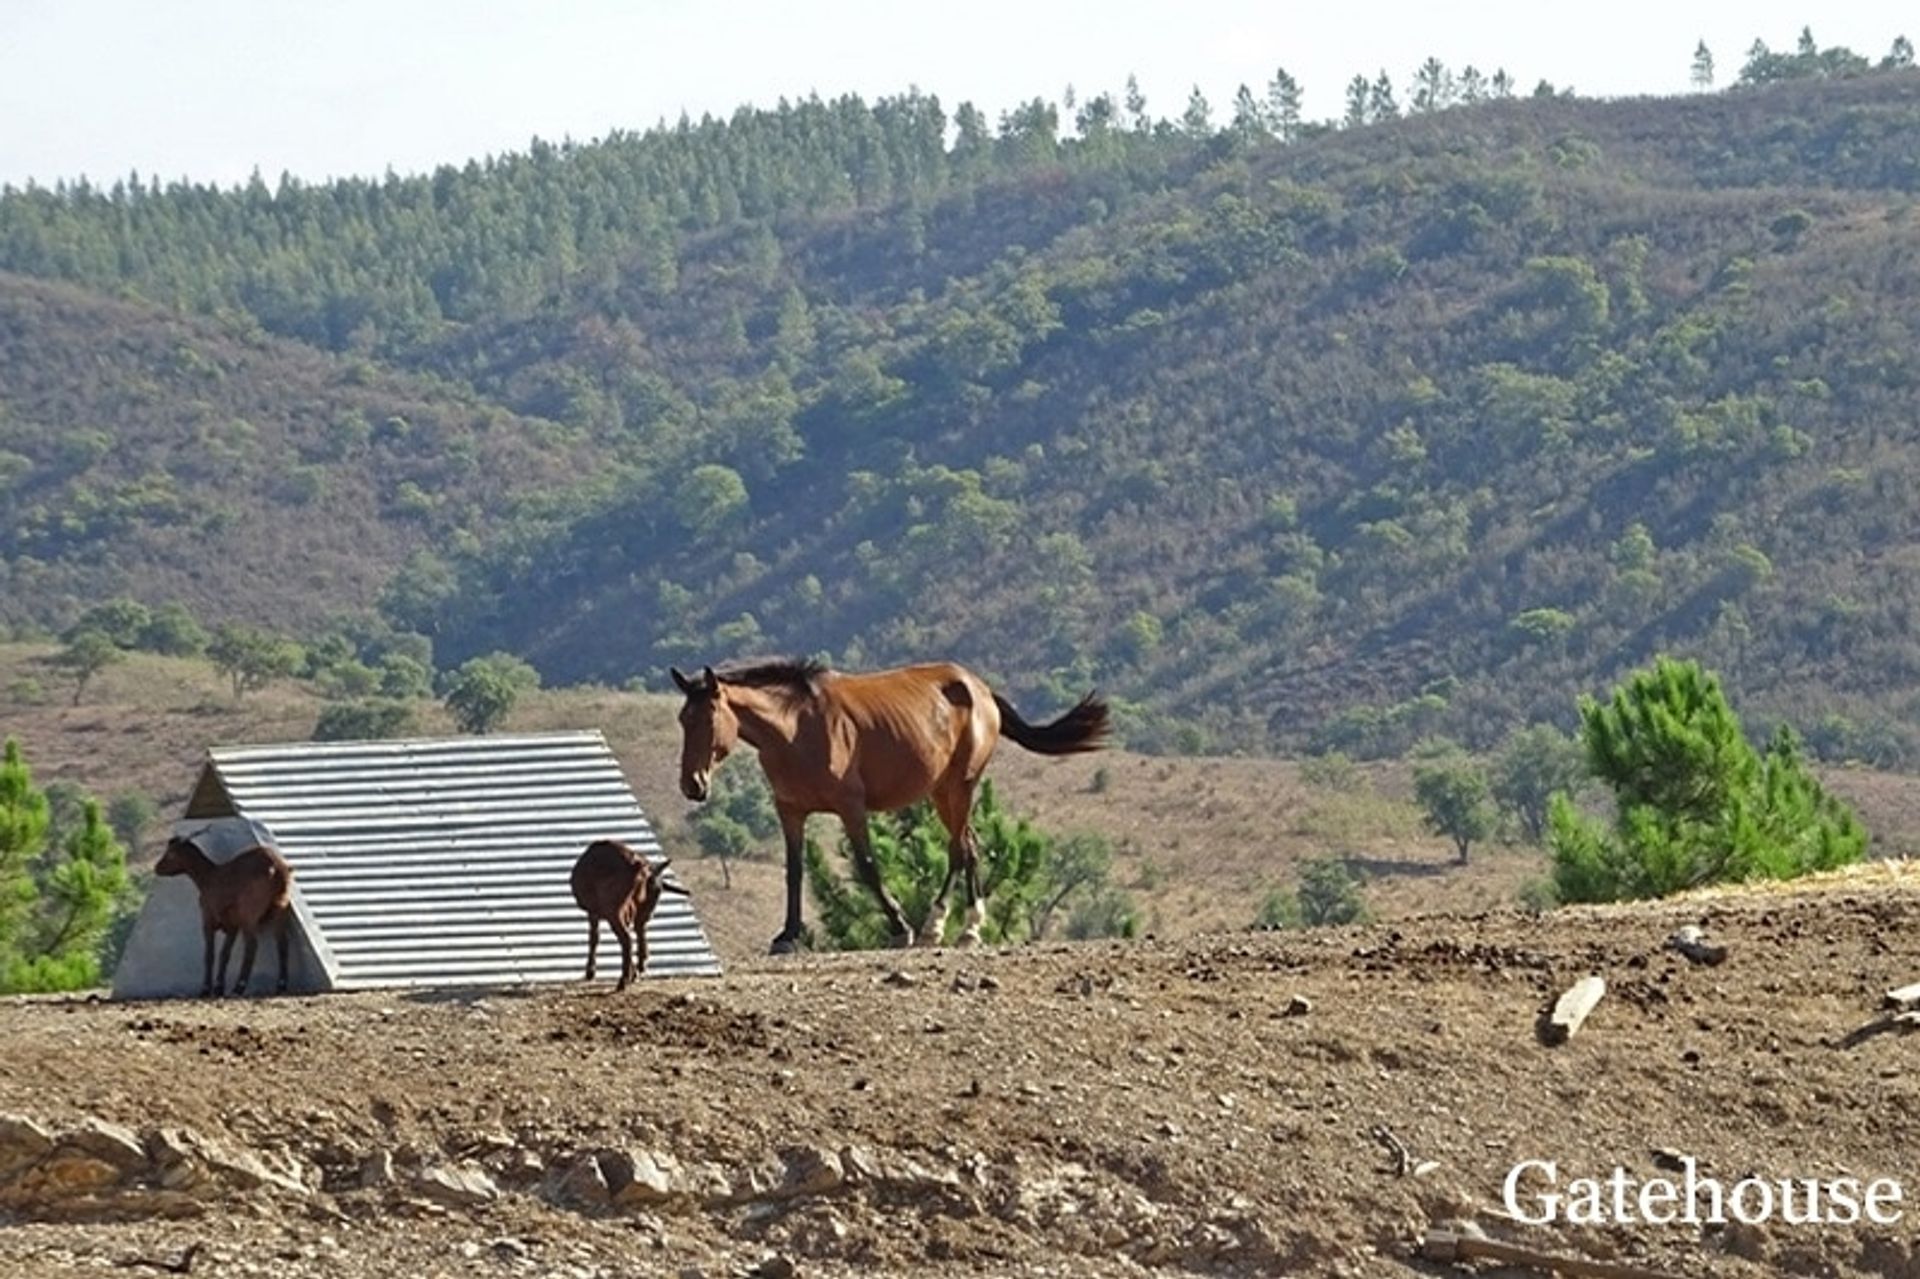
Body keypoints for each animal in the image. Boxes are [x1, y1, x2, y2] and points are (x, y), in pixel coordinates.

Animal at [151, 825, 291, 998]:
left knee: (252, 945)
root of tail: (276, 868)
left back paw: (239, 988)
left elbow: (209, 954)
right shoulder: (232, 925)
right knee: (282, 943)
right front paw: (218, 987)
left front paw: (206, 989)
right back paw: (281, 985)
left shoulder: (208, 920)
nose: (157, 868)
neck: (208, 877)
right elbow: (225, 954)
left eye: (170, 853)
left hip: (249, 914)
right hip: (281, 908)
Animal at [568, 837, 691, 983]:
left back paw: (624, 978)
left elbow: (594, 937)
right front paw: (635, 971)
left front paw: (590, 972)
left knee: (626, 938)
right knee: (639, 931)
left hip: (614, 910)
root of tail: (640, 868)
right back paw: (639, 967)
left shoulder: (594, 911)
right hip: (643, 909)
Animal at [672, 656, 1113, 944]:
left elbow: (868, 865)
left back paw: (942, 924)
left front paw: (901, 926)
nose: (693, 785)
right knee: (970, 846)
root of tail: (981, 690)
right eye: (682, 720)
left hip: (961, 786)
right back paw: (968, 927)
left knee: (959, 849)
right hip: (941, 792)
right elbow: (794, 872)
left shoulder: (851, 808)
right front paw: (788, 935)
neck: (796, 729)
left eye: (709, 718)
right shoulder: (791, 811)